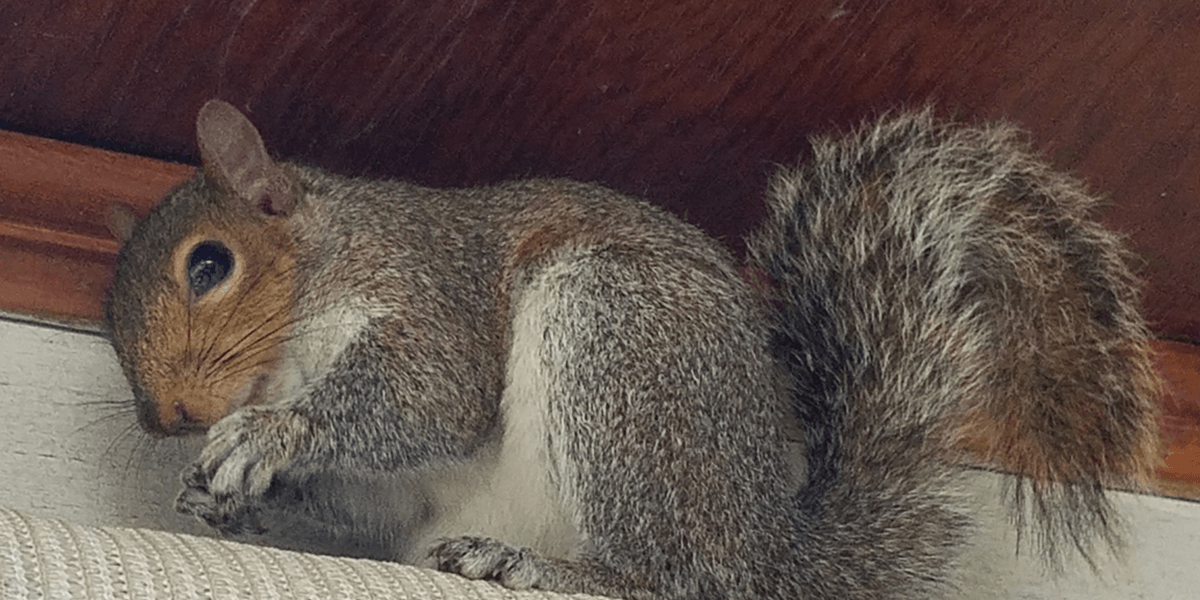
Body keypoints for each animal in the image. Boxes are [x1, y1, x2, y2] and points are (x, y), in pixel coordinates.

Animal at [105, 99, 1160, 599]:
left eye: (209, 265)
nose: (167, 417)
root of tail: (767, 553)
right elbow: (367, 506)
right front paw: (223, 499)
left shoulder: (422, 283)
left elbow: (431, 394)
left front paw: (272, 434)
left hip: (614, 337)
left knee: (676, 580)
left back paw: (545, 568)